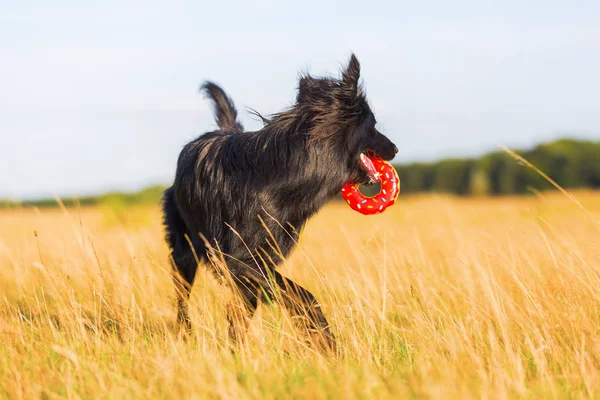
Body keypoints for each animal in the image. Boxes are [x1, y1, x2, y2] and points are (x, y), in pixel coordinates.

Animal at [163, 54, 398, 350]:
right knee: (182, 299)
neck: (285, 171)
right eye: (373, 125)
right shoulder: (238, 258)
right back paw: (186, 334)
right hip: (185, 252)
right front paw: (325, 340)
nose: (395, 149)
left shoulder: (259, 260)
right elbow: (301, 294)